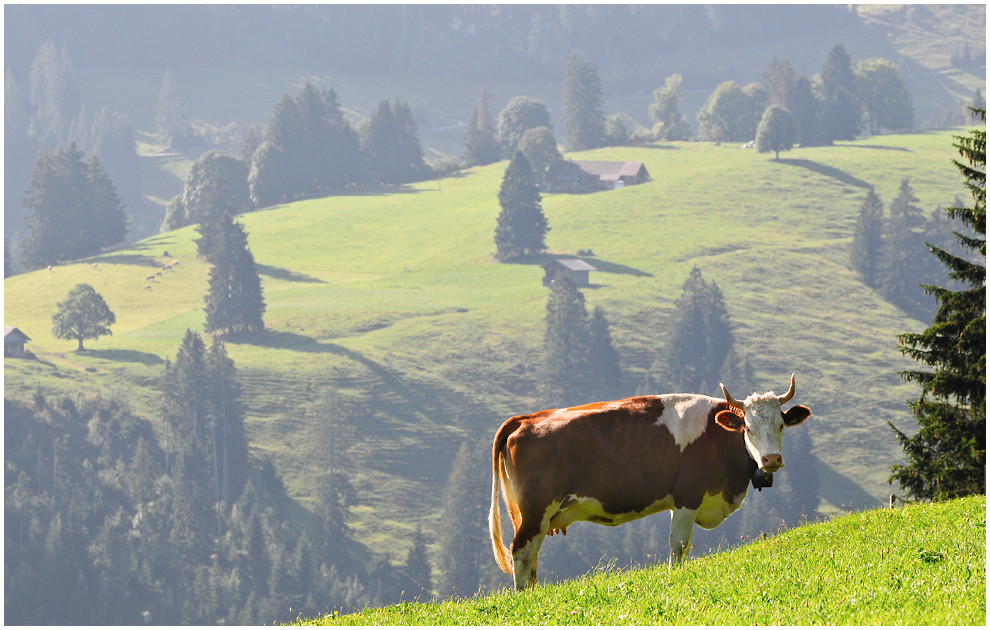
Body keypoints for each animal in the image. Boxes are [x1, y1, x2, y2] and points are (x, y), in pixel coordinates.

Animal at [492, 372, 808, 592]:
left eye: (781, 425)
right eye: (749, 428)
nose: (771, 459)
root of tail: (526, 419)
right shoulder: (687, 495)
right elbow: (679, 544)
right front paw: (675, 577)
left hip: (531, 515)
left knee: (531, 556)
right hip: (536, 510)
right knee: (521, 552)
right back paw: (524, 597)